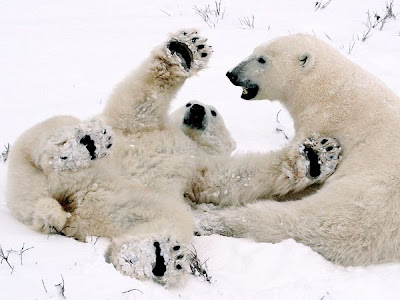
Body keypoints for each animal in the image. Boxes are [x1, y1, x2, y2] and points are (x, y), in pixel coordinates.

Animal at [5, 29, 238, 286]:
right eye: (188, 102)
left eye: (214, 112)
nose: (197, 109)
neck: (188, 141)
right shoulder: (143, 131)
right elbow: (139, 104)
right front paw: (186, 49)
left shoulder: (199, 169)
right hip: (31, 159)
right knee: (48, 134)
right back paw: (82, 145)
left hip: (116, 201)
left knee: (162, 218)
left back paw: (155, 257)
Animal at [193, 33, 400, 268]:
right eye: (254, 50)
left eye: (262, 59)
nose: (232, 74)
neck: (323, 86)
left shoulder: (324, 119)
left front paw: (314, 159)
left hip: (362, 201)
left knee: (290, 221)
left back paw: (211, 220)